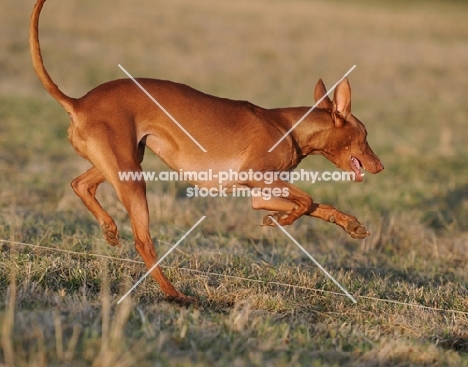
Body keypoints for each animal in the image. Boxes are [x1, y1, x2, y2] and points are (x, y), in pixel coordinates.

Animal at [30, 0, 384, 304]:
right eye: (365, 135)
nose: (380, 166)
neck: (289, 127)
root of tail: (78, 102)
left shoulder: (261, 193)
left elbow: (316, 205)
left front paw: (349, 224)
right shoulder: (256, 178)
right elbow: (307, 201)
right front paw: (281, 220)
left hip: (124, 162)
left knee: (80, 184)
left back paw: (109, 228)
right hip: (132, 178)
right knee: (143, 242)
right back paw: (174, 294)